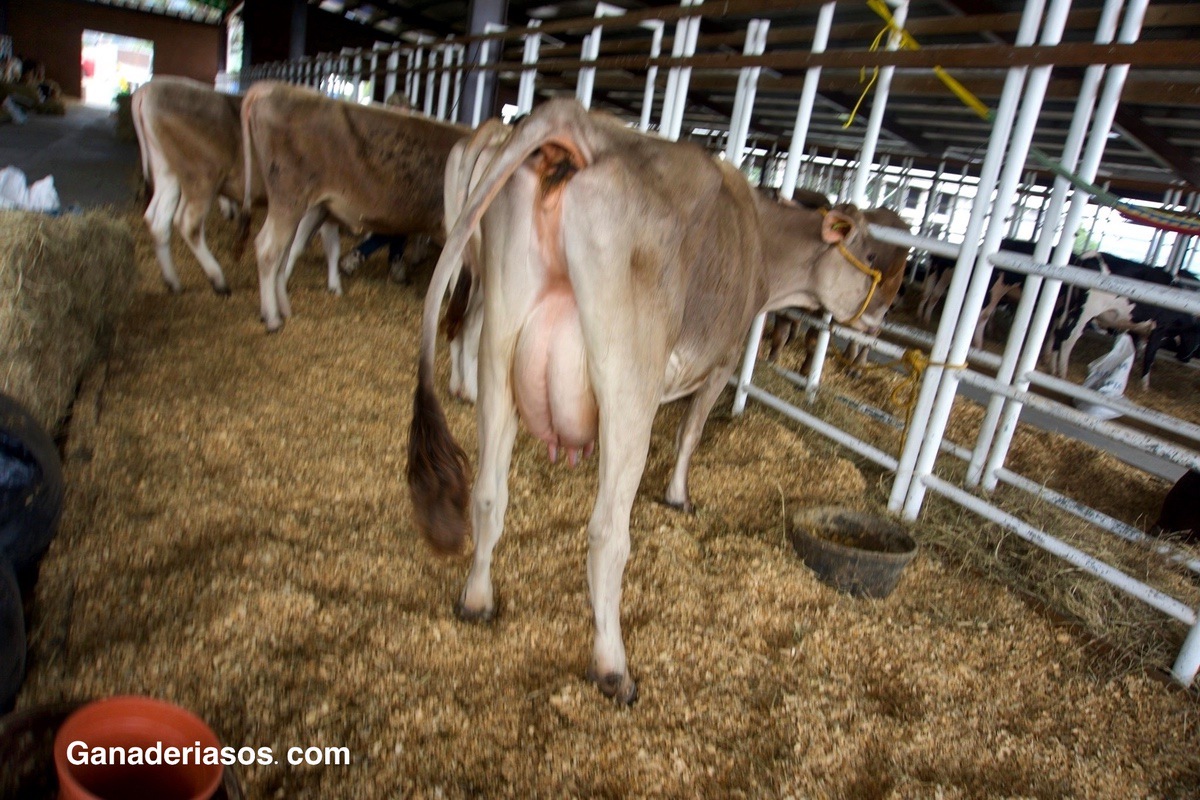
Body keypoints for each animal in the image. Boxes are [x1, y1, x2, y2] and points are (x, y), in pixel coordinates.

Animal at [129, 77, 340, 297]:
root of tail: (147, 89)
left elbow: (328, 245)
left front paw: (334, 283)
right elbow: (303, 244)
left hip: (167, 173)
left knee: (157, 220)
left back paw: (173, 282)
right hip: (202, 176)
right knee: (188, 224)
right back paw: (218, 280)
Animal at [240, 81, 468, 331]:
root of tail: (276, 87)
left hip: (306, 206)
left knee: (286, 251)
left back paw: (285, 309)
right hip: (288, 199)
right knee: (268, 249)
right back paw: (272, 318)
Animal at [408, 97, 912, 705]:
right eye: (869, 248)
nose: (884, 312)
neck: (760, 243)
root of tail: (578, 122)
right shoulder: (721, 362)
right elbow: (690, 433)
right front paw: (678, 496)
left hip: (501, 347)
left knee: (488, 492)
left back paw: (478, 599)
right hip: (629, 379)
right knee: (607, 533)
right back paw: (613, 667)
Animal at [1046, 250, 1195, 388]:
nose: (1185, 359)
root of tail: (1091, 254)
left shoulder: (1137, 329)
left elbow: (1136, 349)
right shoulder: (1159, 328)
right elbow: (1150, 355)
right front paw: (1145, 386)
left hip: (1070, 304)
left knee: (1057, 327)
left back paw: (1052, 366)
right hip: (1087, 311)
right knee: (1069, 336)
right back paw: (1062, 373)